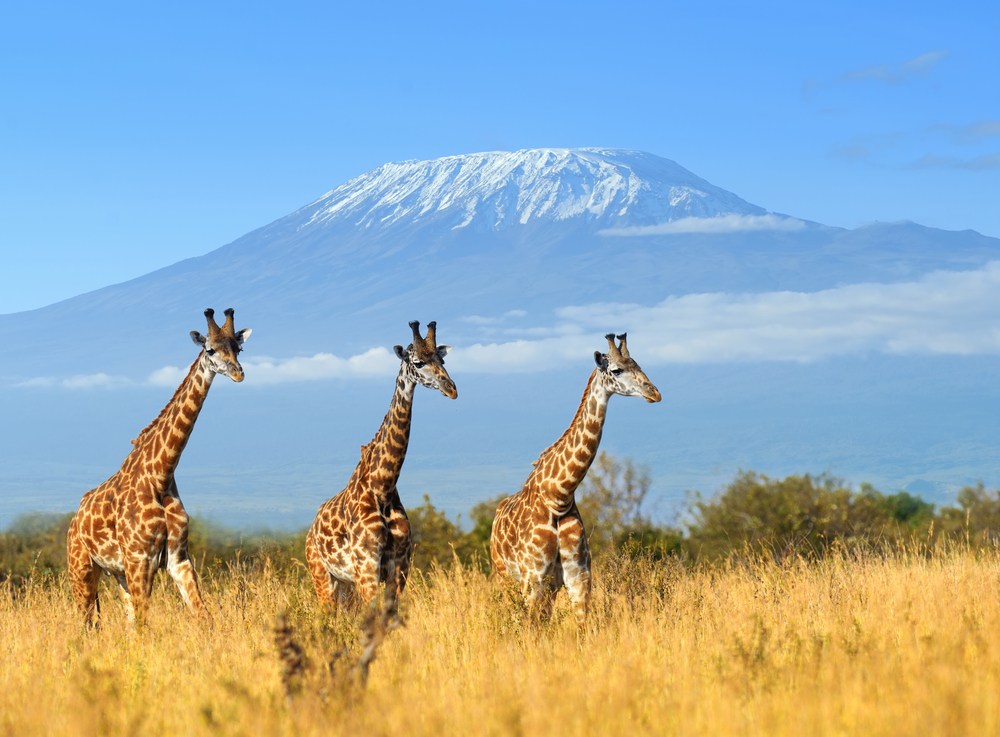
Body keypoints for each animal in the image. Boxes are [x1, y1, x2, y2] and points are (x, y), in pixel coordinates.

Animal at [67, 308, 252, 624]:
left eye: (238, 348)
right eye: (210, 349)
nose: (238, 373)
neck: (160, 476)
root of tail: (74, 519)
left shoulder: (178, 558)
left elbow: (203, 617)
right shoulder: (139, 559)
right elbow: (145, 624)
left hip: (118, 574)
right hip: (82, 568)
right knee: (87, 622)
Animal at [306, 320, 458, 608]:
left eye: (442, 359)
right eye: (418, 362)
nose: (451, 389)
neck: (383, 486)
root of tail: (310, 530)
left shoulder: (400, 568)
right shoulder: (367, 567)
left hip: (346, 584)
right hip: (323, 576)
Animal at [488, 330, 660, 624]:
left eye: (639, 365)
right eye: (617, 369)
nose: (654, 393)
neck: (560, 495)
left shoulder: (578, 576)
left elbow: (581, 626)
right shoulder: (533, 577)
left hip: (548, 586)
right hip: (507, 577)